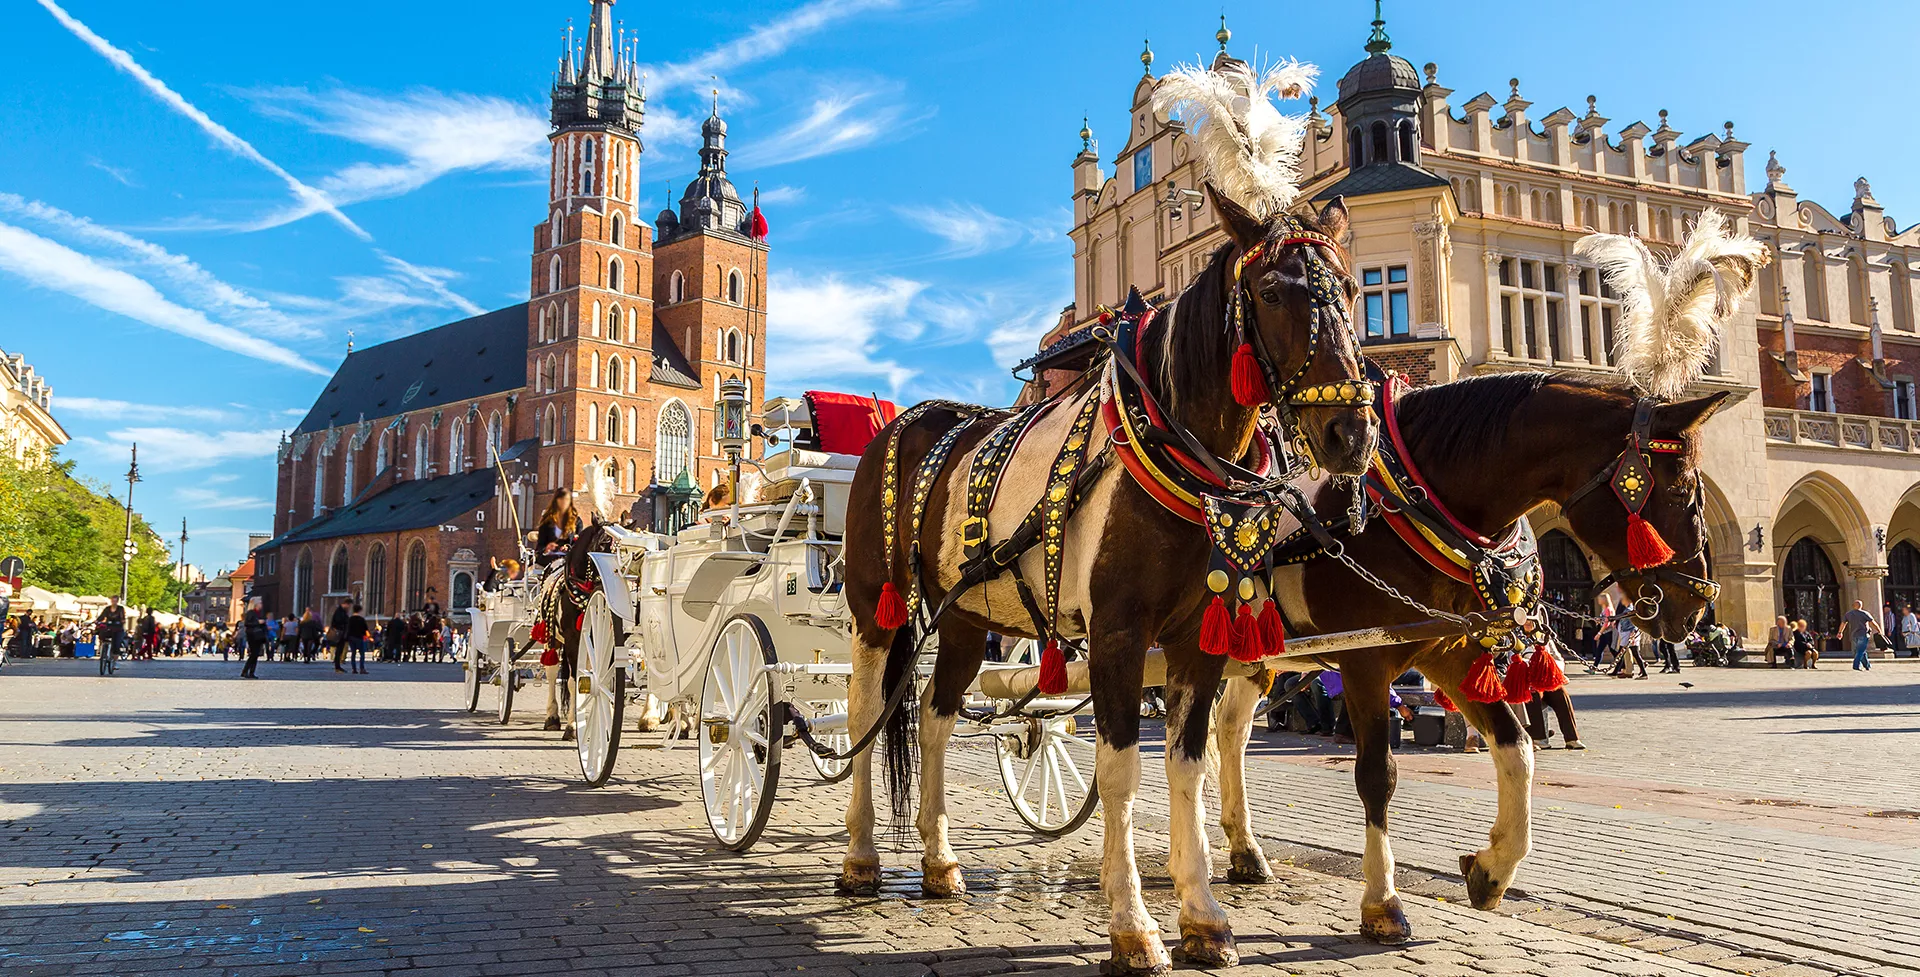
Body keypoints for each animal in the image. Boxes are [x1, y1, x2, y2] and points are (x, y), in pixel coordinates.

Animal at [839, 185, 1377, 975]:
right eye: (1274, 291)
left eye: (1352, 289)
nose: (1351, 433)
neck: (1167, 448)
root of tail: (906, 422)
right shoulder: (1119, 636)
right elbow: (1122, 770)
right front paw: (1134, 925)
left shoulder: (1197, 641)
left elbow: (1188, 765)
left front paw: (1204, 916)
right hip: (876, 609)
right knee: (864, 717)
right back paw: (860, 857)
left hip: (964, 618)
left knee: (935, 719)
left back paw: (939, 862)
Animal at [1210, 370, 1729, 944]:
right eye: (1680, 489)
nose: (1698, 604)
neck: (1409, 508)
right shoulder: (1365, 660)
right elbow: (1376, 775)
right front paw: (1382, 902)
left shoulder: (1449, 650)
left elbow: (1517, 748)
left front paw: (1492, 868)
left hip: (1252, 656)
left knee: (1228, 732)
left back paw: (1244, 850)